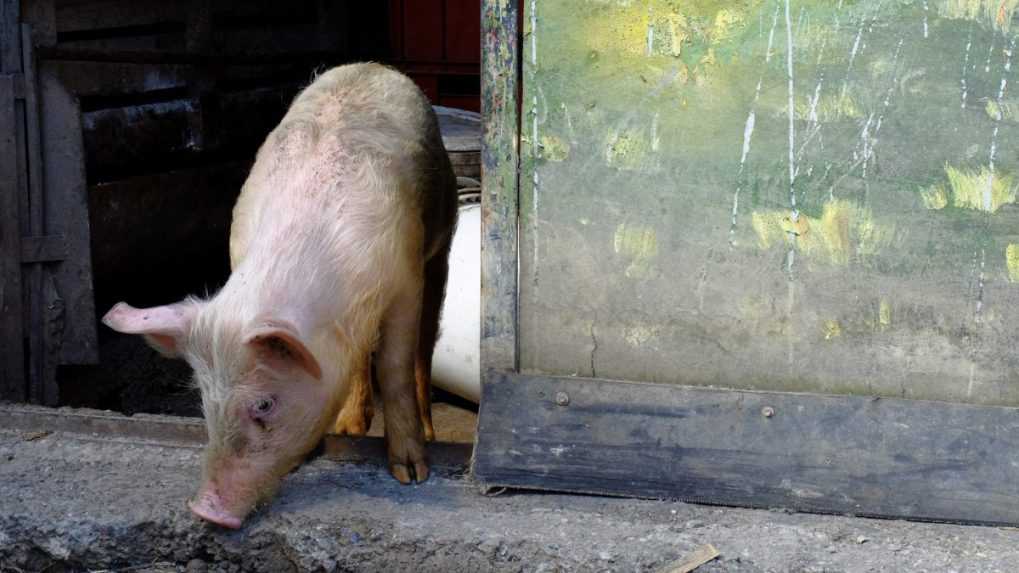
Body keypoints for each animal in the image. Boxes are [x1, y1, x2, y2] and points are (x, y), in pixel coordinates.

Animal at [99, 62, 458, 526]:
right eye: (204, 400)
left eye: (265, 405)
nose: (206, 510)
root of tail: (372, 65)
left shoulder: (405, 278)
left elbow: (393, 368)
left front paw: (411, 474)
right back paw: (349, 429)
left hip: (442, 240)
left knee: (423, 345)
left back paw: (425, 431)